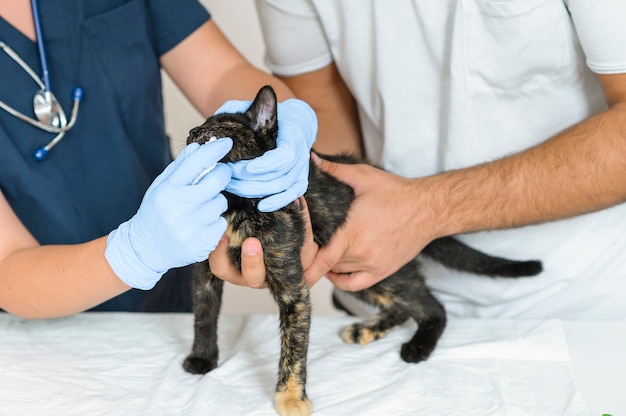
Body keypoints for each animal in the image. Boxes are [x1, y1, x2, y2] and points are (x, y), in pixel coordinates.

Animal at [182, 85, 540, 416]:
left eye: (217, 129)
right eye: (197, 127)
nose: (190, 133)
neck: (234, 206)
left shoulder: (293, 289)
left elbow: (293, 347)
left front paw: (291, 398)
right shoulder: (204, 272)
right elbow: (203, 314)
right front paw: (203, 357)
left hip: (380, 268)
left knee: (433, 306)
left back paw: (418, 346)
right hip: (359, 274)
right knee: (403, 308)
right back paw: (366, 328)